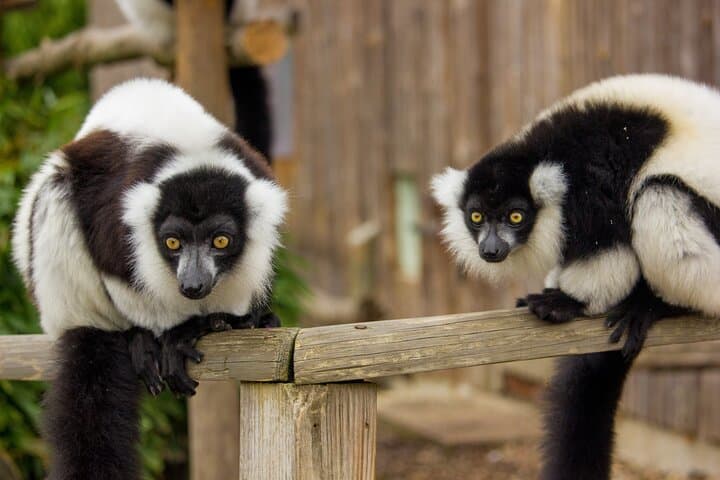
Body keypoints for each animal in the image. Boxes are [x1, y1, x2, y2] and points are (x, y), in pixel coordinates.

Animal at [11, 78, 287, 480]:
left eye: (220, 241)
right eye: (173, 242)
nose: (192, 285)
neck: (192, 152)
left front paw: (229, 321)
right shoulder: (113, 214)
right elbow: (118, 270)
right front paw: (177, 332)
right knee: (57, 187)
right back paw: (132, 335)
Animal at [431, 74, 720, 480]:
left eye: (515, 217)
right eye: (476, 217)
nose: (490, 250)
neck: (547, 152)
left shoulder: (589, 184)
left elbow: (609, 252)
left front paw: (564, 302)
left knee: (659, 192)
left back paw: (656, 304)